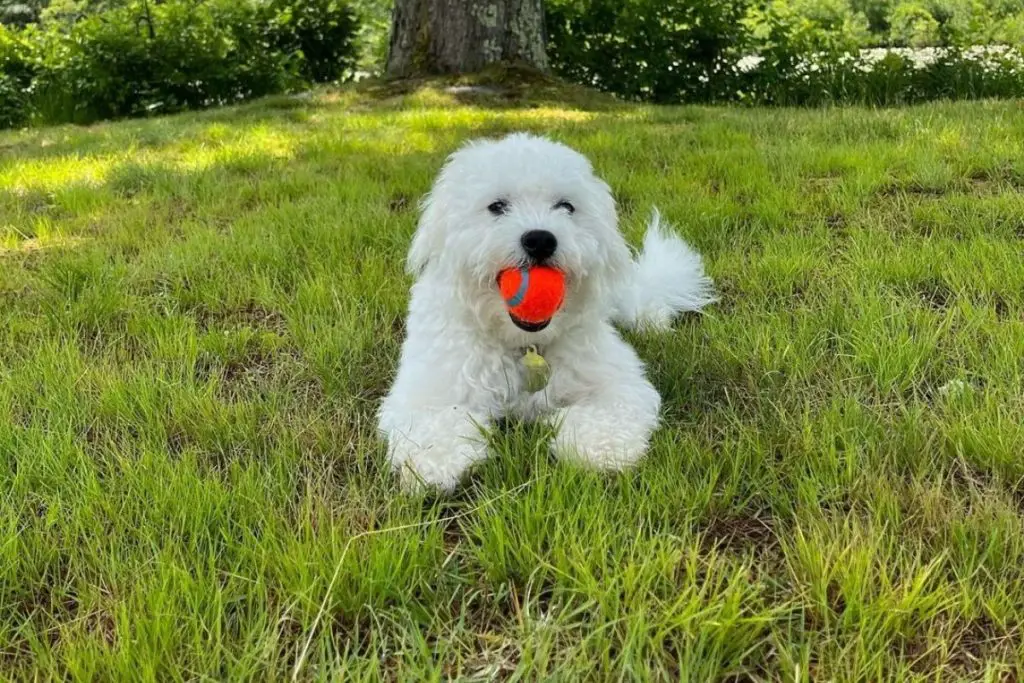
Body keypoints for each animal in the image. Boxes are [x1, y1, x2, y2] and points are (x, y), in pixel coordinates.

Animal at [374, 133, 712, 491]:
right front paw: (435, 463)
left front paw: (600, 449)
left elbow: (608, 415)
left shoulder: (617, 380)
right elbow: (436, 423)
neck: (524, 344)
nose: (539, 240)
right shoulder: (429, 388)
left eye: (566, 206)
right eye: (497, 206)